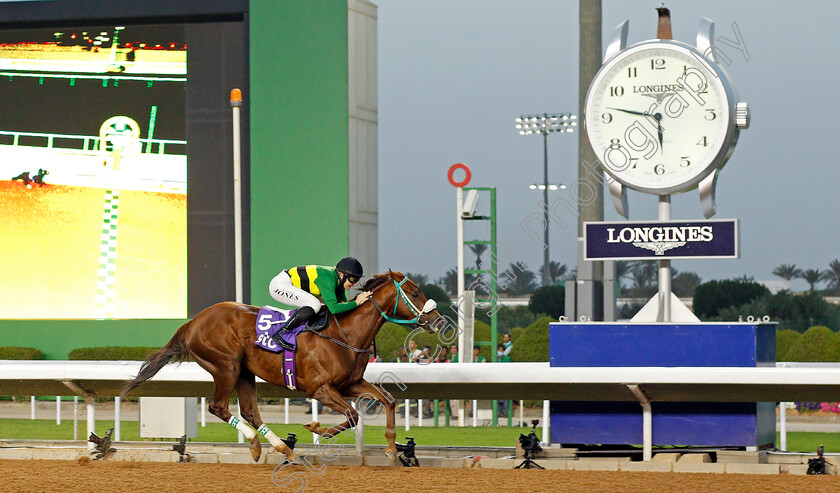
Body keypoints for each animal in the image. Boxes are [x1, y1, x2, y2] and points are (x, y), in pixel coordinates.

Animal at [123, 270, 446, 462]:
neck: (345, 334)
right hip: (226, 366)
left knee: (250, 411)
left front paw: (392, 447)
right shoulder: (319, 388)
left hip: (244, 372)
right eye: (414, 293)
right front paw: (318, 429)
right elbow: (353, 415)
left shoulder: (351, 384)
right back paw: (261, 443)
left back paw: (279, 448)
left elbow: (388, 401)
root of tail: (193, 322)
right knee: (219, 407)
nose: (439, 321)